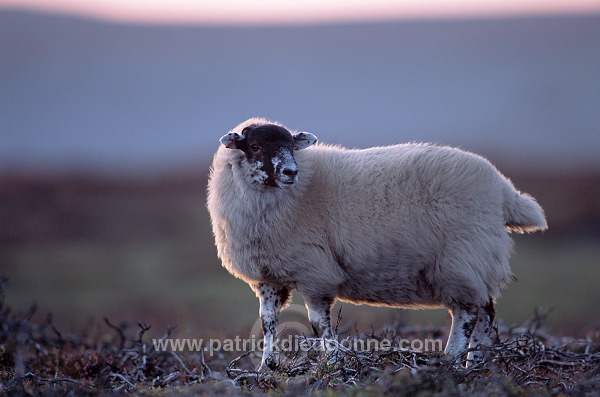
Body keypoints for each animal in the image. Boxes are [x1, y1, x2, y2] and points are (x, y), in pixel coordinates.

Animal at [207, 117, 548, 368]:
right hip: (477, 262)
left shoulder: (315, 272)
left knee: (468, 313)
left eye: (291, 145)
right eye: (254, 145)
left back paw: (451, 361)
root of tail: (503, 190)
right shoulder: (268, 275)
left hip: (461, 258)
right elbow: (268, 321)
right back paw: (475, 365)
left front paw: (333, 362)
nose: (291, 171)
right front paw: (266, 367)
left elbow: (318, 323)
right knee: (486, 312)